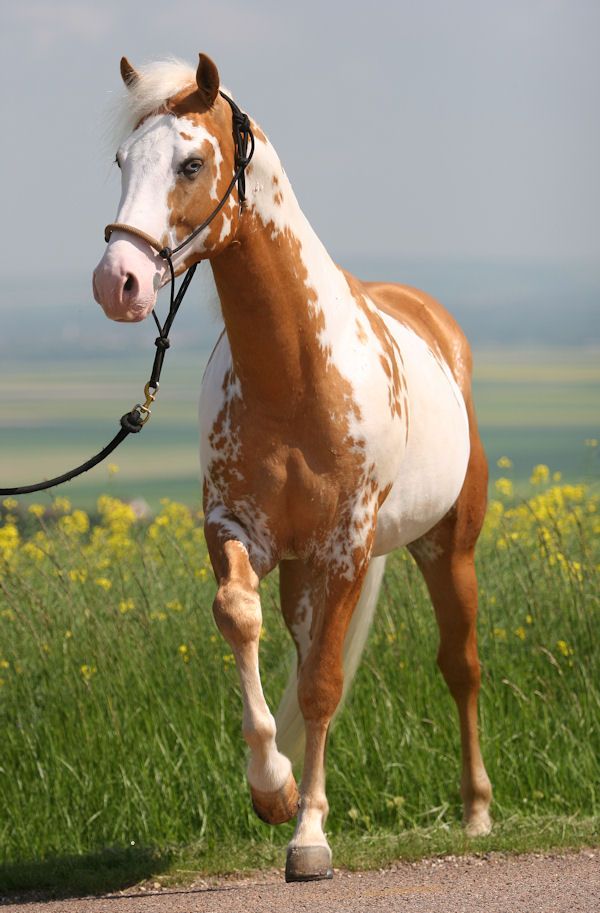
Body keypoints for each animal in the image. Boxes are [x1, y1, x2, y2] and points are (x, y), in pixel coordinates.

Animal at [92, 53, 492, 880]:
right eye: (121, 161)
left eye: (191, 162)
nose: (118, 281)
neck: (296, 369)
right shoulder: (237, 528)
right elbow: (239, 619)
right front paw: (272, 789)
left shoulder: (345, 549)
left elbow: (323, 687)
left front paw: (308, 837)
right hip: (309, 572)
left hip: (447, 549)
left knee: (458, 664)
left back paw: (476, 812)